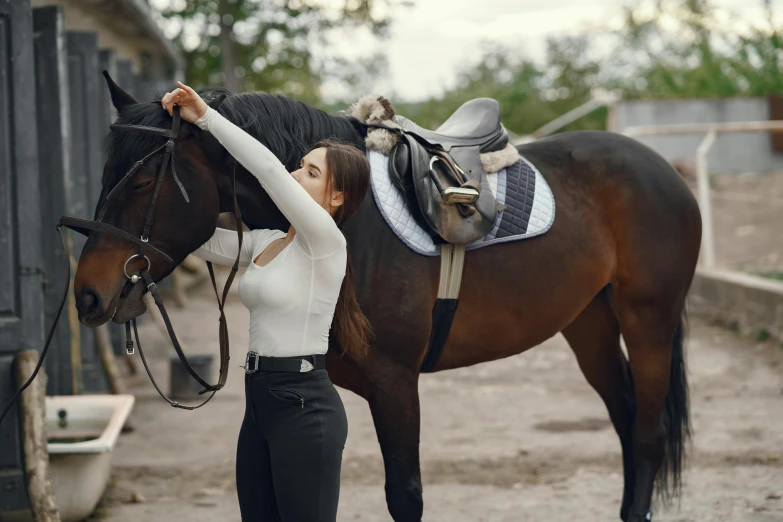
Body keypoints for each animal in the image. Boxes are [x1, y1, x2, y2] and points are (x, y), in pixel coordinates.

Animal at [72, 77, 700, 520]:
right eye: (104, 174)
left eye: (143, 182)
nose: (88, 296)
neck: (352, 223)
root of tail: (663, 169)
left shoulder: (396, 384)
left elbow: (405, 495)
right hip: (589, 324)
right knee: (625, 419)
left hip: (649, 321)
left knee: (647, 432)